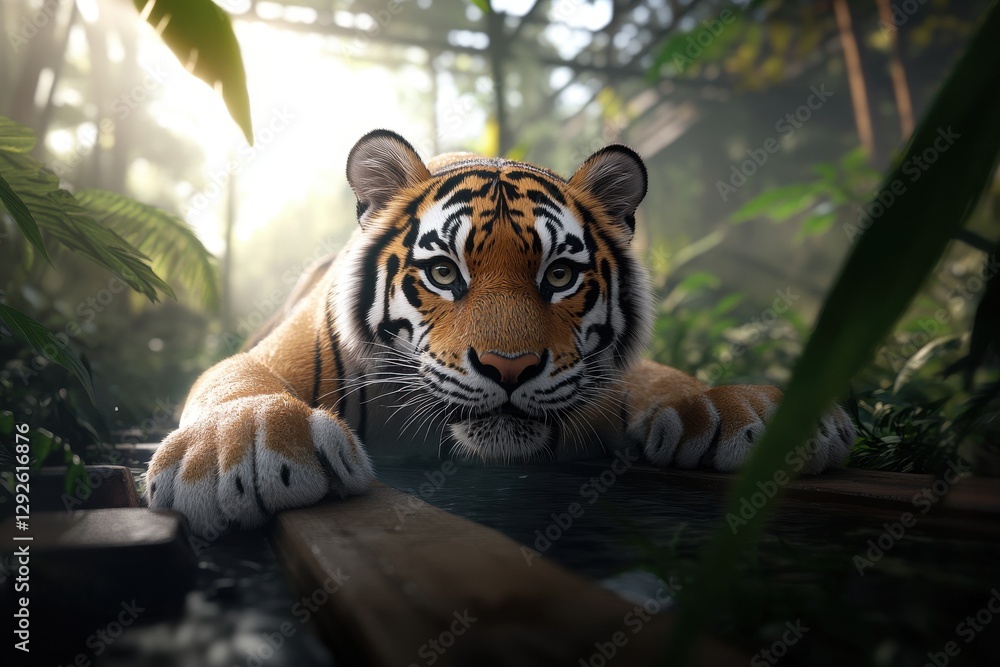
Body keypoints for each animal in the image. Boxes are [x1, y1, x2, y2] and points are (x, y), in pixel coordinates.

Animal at [146, 130, 856, 535]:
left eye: (560, 275)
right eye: (442, 272)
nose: (509, 368)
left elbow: (659, 377)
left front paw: (744, 409)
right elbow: (236, 377)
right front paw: (244, 449)